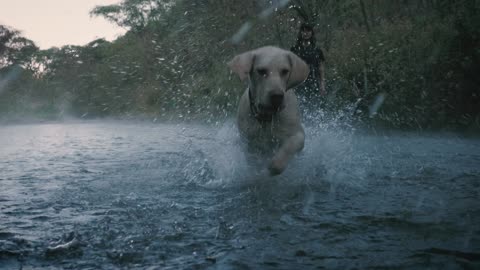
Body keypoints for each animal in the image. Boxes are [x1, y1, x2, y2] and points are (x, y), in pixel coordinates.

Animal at [230, 46, 312, 175]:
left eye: (285, 71)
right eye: (261, 71)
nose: (277, 96)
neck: (267, 118)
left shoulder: (297, 134)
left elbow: (290, 146)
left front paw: (274, 165)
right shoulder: (249, 143)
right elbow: (254, 161)